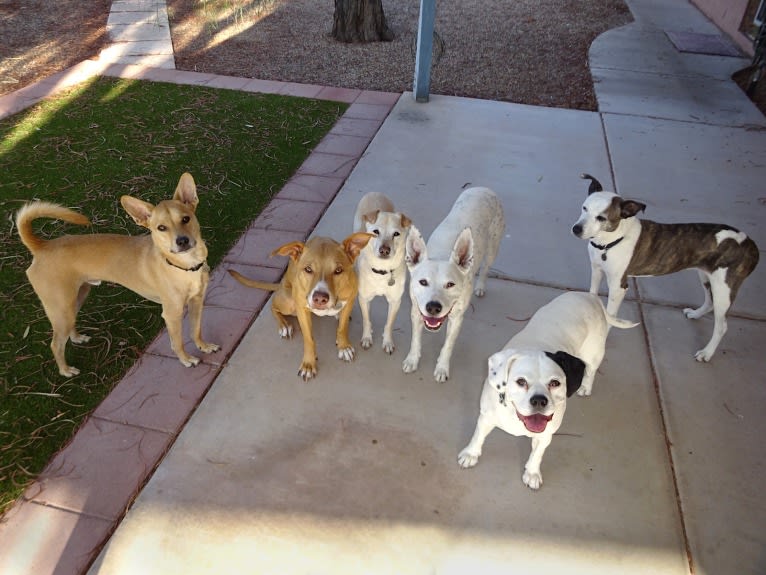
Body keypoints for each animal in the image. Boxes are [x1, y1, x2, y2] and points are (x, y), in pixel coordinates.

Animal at [404, 189, 508, 384]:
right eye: (423, 282)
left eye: (450, 284)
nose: (433, 307)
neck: (441, 254)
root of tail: (484, 188)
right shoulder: (415, 311)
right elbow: (415, 339)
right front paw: (412, 360)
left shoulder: (457, 319)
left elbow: (448, 346)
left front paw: (442, 368)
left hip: (493, 246)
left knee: (486, 267)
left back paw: (480, 286)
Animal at [460, 292, 640, 490]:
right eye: (521, 381)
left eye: (555, 383)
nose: (539, 400)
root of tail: (590, 296)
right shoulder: (486, 417)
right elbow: (478, 437)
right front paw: (470, 454)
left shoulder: (546, 436)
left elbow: (537, 454)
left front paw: (532, 473)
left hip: (594, 354)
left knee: (591, 370)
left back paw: (585, 386)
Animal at [568, 172, 760, 360]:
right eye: (584, 208)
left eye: (602, 218)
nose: (576, 229)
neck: (609, 242)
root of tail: (750, 244)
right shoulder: (596, 269)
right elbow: (592, 294)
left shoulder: (618, 286)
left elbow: (610, 316)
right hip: (706, 276)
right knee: (710, 301)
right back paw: (696, 314)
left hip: (724, 288)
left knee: (721, 326)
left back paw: (707, 353)